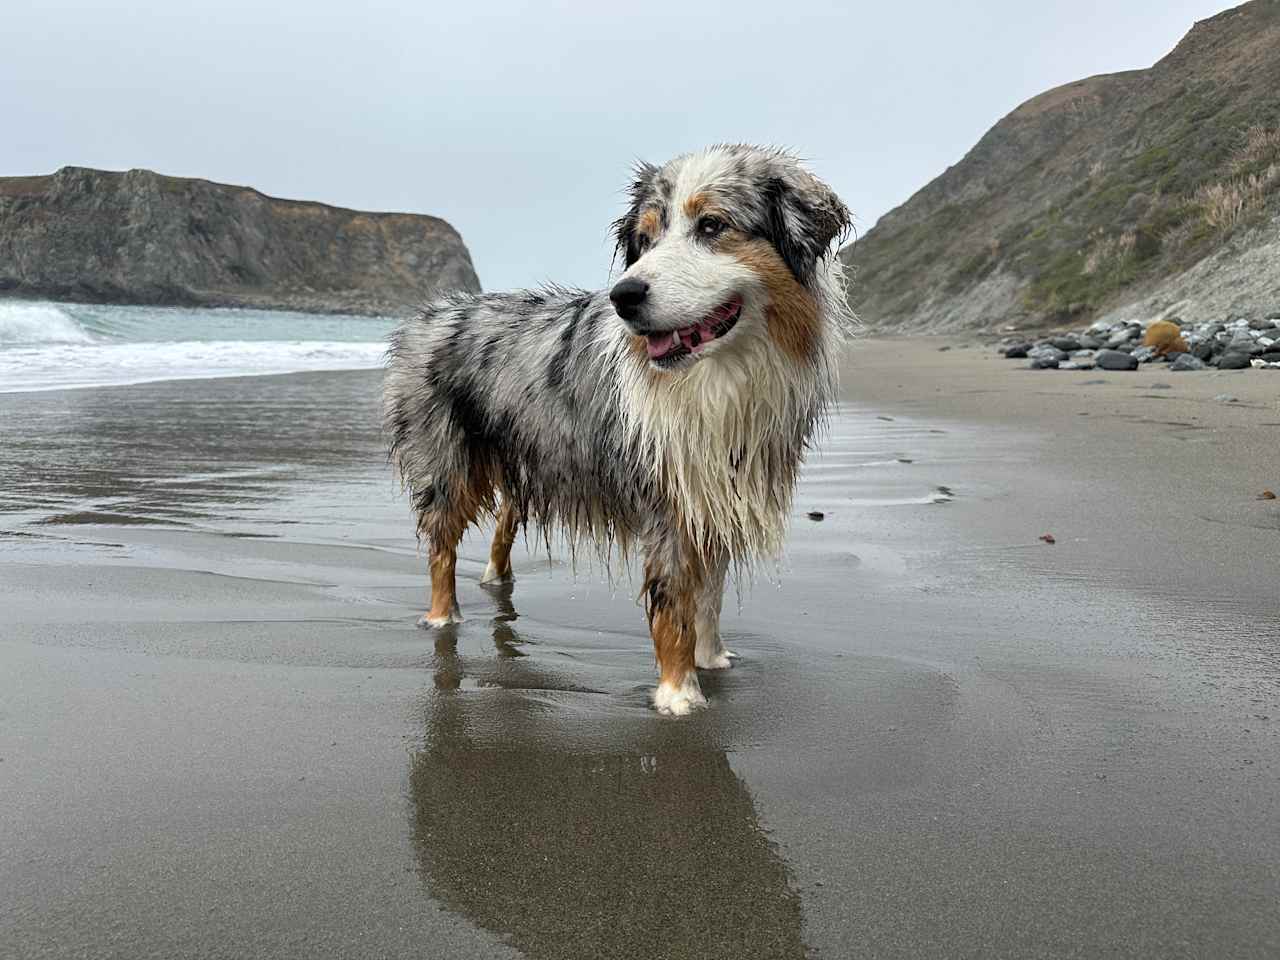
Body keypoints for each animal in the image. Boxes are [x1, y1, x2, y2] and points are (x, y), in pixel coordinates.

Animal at [384, 142, 855, 716]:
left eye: (713, 225)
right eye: (645, 240)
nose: (623, 296)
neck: (716, 376)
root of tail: (433, 312)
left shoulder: (714, 490)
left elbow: (711, 593)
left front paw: (712, 657)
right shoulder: (666, 498)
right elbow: (673, 600)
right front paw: (679, 692)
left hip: (529, 452)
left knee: (505, 518)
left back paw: (498, 578)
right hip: (446, 460)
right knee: (441, 544)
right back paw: (442, 616)